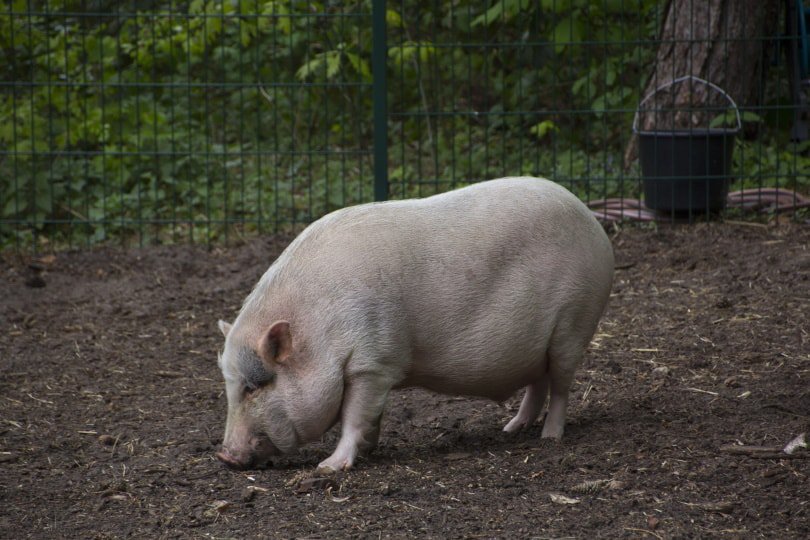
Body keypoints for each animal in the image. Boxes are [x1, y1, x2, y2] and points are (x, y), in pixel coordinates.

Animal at [215, 176, 614, 473]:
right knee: (539, 383)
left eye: (254, 386)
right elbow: (371, 416)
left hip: (573, 324)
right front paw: (369, 451)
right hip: (538, 343)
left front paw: (328, 467)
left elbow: (355, 416)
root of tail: (593, 223)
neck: (318, 332)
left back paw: (550, 437)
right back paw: (511, 429)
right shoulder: (373, 369)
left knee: (561, 386)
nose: (225, 455)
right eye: (230, 386)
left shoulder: (373, 362)